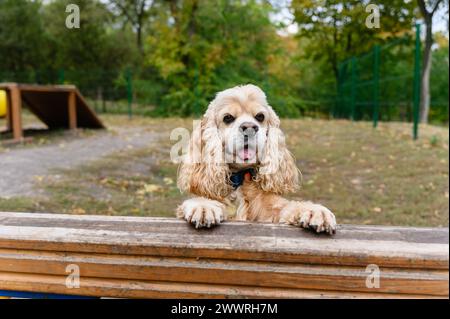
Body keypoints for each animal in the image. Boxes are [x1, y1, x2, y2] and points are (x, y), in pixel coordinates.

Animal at [178, 85, 336, 235]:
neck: (239, 179)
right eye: (227, 118)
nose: (249, 127)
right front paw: (203, 206)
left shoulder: (268, 210)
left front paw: (314, 210)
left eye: (260, 116)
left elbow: (287, 206)